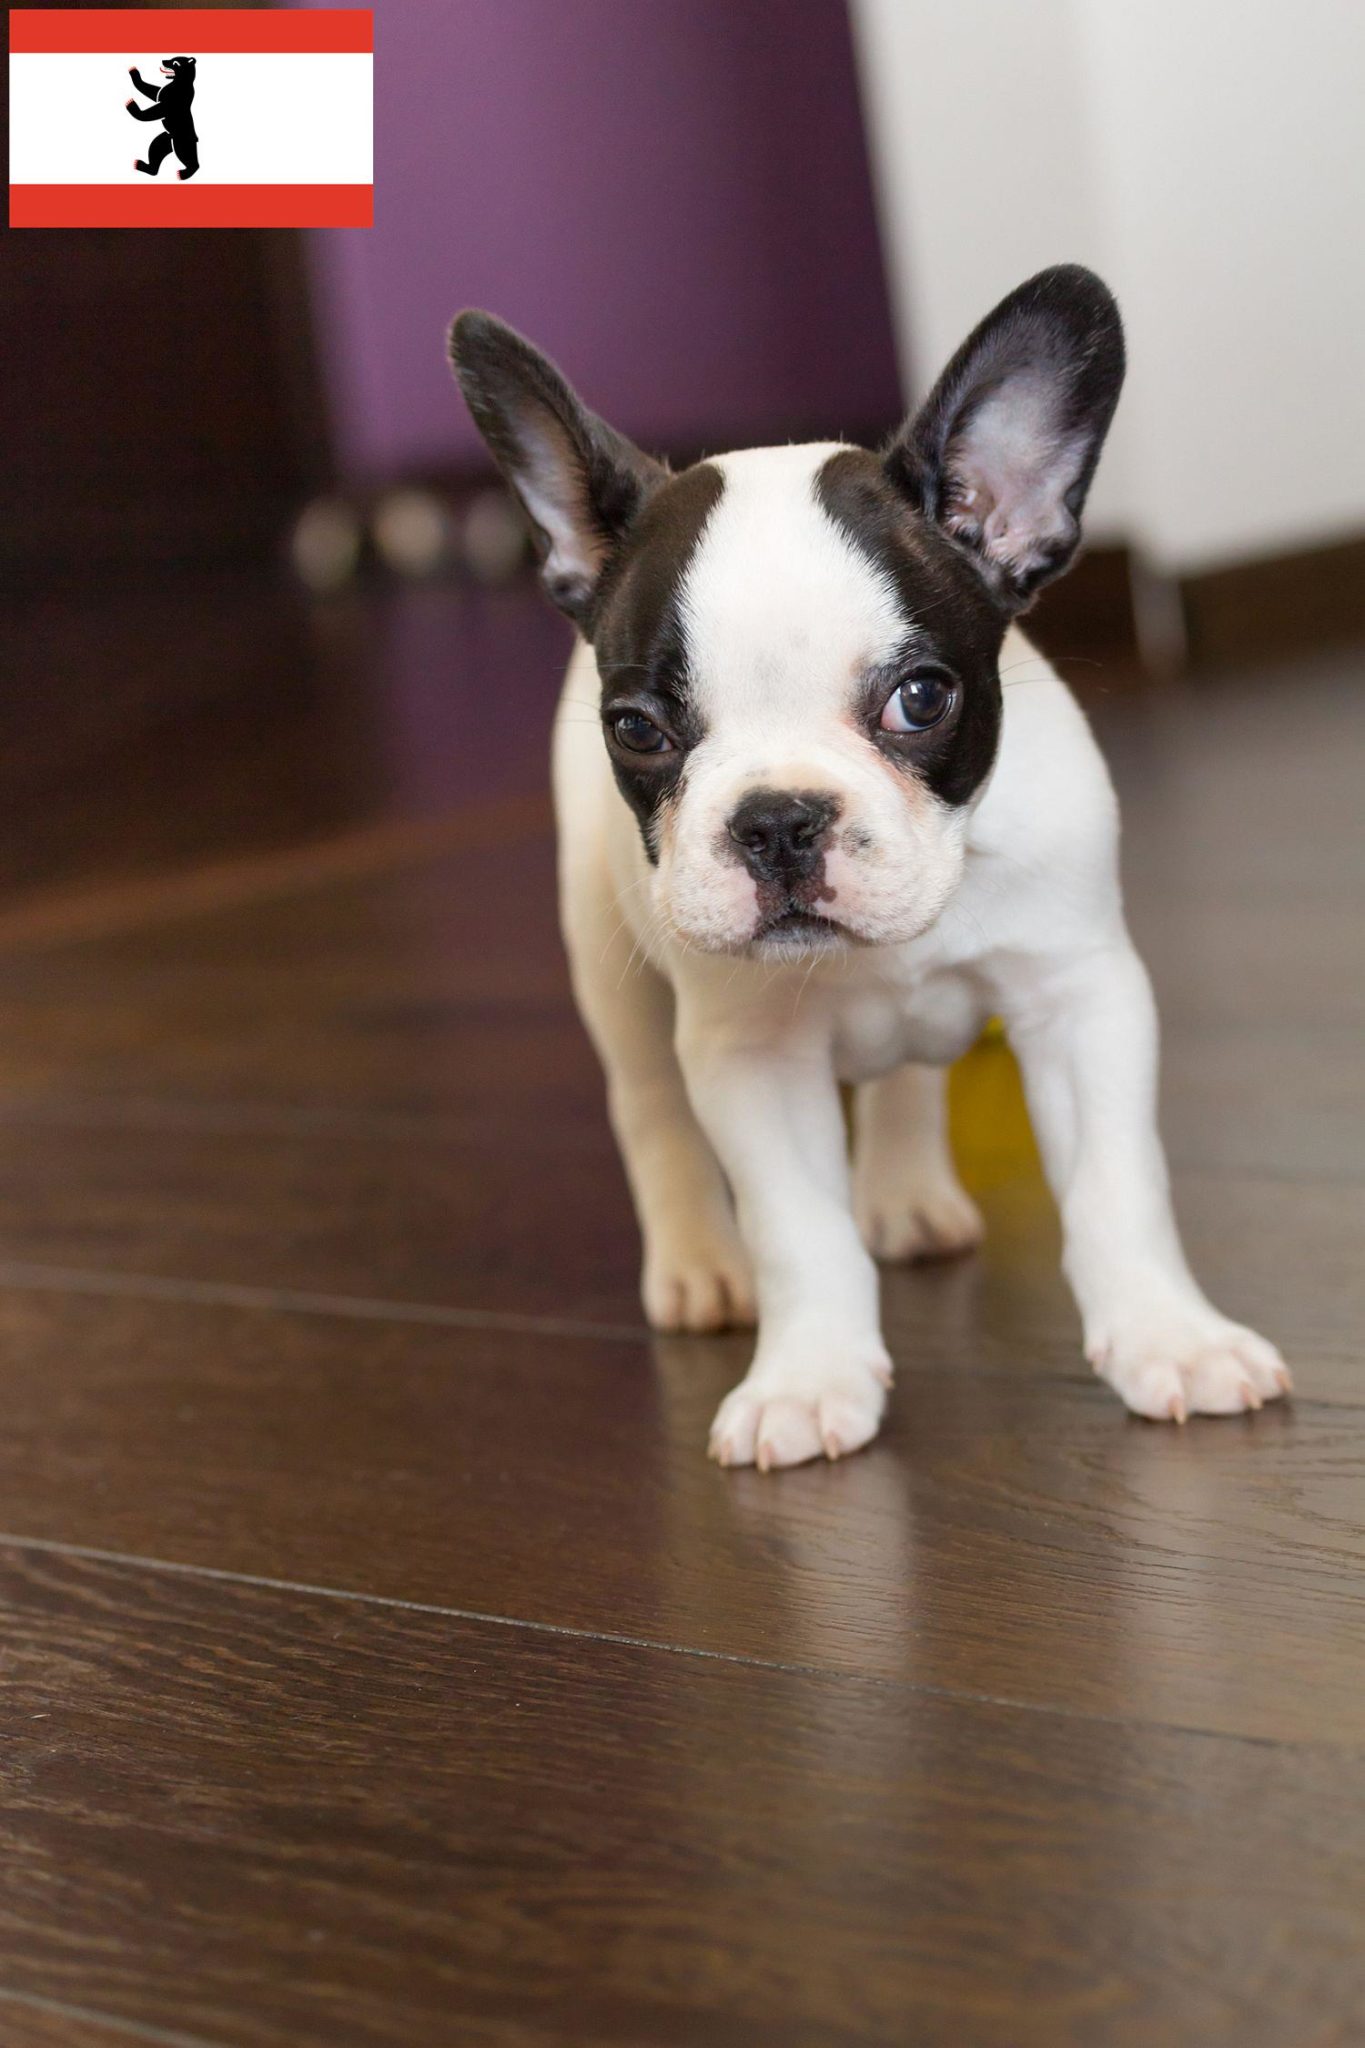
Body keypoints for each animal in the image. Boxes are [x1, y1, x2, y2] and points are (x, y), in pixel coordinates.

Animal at [450, 272, 1293, 1466]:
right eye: (637, 728)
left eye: (921, 698)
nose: (777, 820)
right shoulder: (750, 1059)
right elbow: (798, 1228)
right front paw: (807, 1377)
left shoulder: (1080, 998)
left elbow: (1118, 1185)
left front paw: (1168, 1338)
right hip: (606, 959)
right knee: (649, 1107)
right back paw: (699, 1260)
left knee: (902, 1082)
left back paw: (903, 1189)